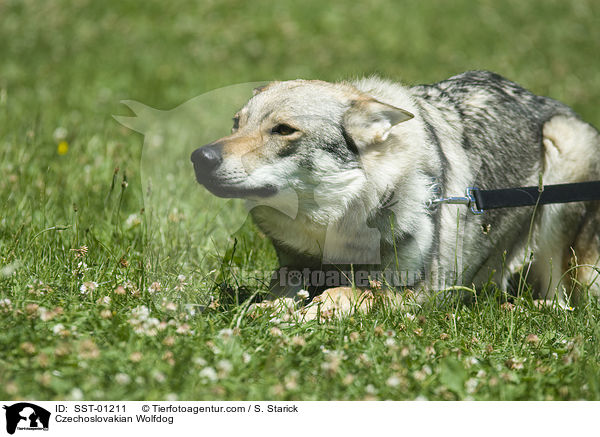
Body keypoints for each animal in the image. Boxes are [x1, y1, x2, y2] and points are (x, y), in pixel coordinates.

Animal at [192, 71, 600, 316]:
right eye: (236, 123)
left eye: (283, 130)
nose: (199, 157)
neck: (331, 229)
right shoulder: (291, 270)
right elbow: (280, 296)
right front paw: (267, 312)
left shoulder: (423, 293)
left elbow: (351, 293)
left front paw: (315, 312)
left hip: (561, 167)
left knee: (563, 303)